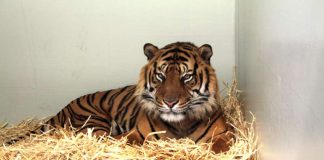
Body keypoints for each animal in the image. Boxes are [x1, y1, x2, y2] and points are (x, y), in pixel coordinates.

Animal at [27, 42, 233, 153]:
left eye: (187, 77)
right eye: (160, 76)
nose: (170, 102)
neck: (181, 124)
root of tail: (64, 107)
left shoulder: (226, 134)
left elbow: (219, 145)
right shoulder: (136, 133)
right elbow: (124, 142)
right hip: (93, 120)